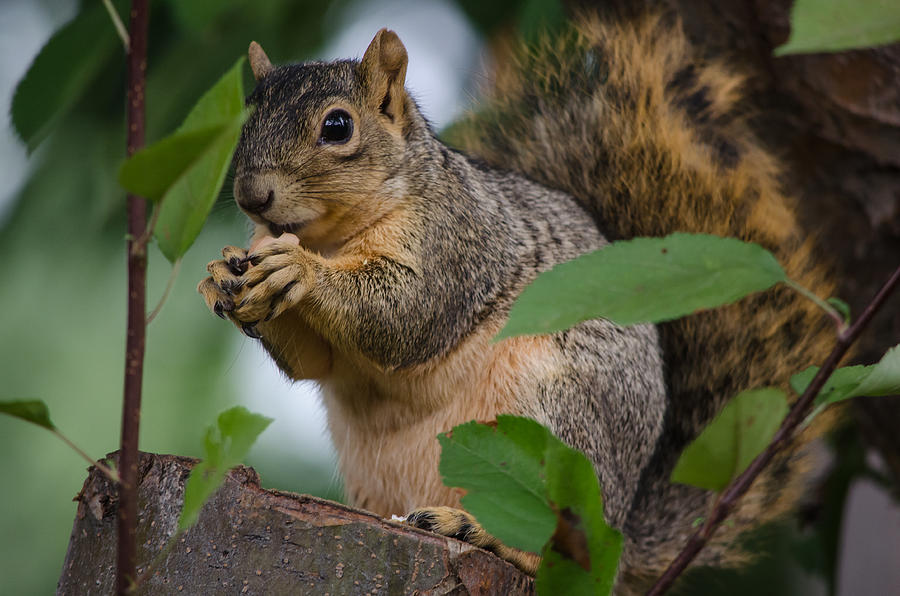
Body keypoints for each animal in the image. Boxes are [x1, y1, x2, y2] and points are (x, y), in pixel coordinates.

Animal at [197, 11, 836, 592]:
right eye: (249, 116)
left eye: (337, 126)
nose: (251, 196)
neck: (332, 236)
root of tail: (620, 534)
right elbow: (316, 362)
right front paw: (223, 280)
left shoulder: (458, 242)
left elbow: (405, 317)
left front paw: (299, 270)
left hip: (555, 423)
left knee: (559, 544)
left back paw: (477, 530)